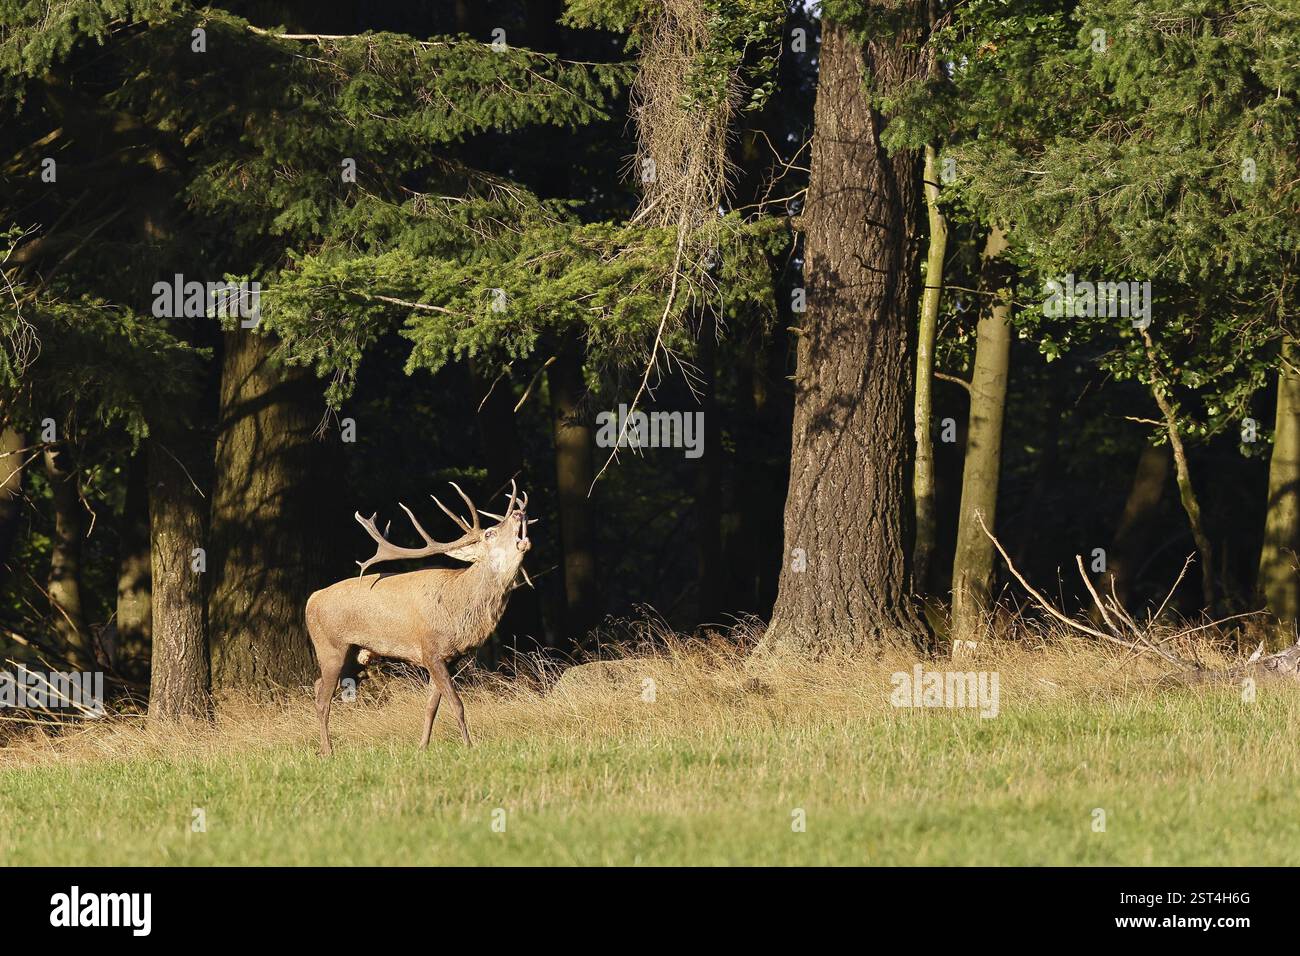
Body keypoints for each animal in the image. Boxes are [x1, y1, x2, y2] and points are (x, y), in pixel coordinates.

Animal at [305, 480, 531, 756]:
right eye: (489, 533)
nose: (519, 513)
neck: (457, 610)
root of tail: (312, 599)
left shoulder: (449, 658)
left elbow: (431, 706)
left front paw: (422, 746)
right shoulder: (430, 650)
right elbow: (457, 704)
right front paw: (469, 746)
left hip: (354, 655)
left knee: (319, 686)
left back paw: (322, 748)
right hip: (330, 647)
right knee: (322, 699)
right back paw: (328, 752)